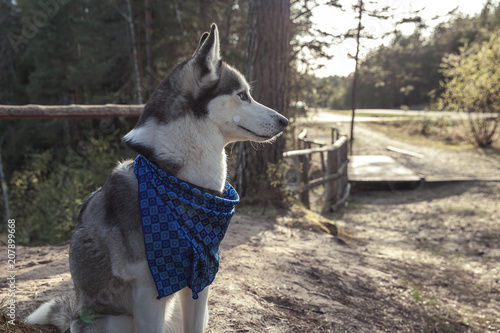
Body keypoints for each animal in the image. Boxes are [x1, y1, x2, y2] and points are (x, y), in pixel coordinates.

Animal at [25, 24, 288, 332]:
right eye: (242, 95)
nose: (285, 121)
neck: (186, 183)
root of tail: (74, 316)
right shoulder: (149, 293)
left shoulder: (199, 283)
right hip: (118, 321)